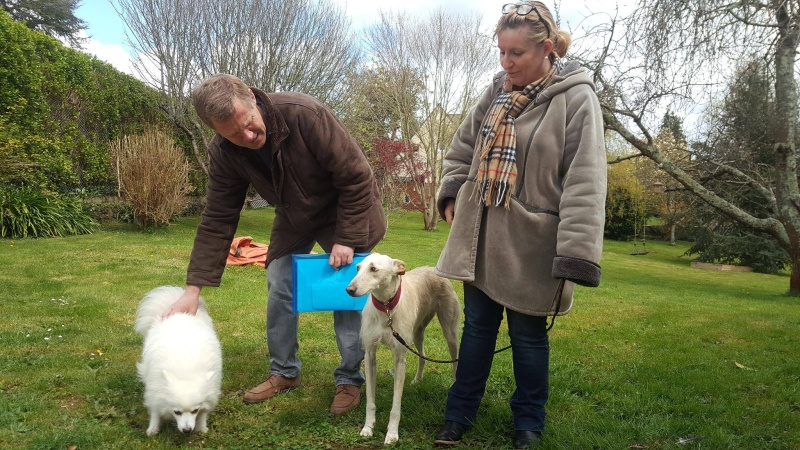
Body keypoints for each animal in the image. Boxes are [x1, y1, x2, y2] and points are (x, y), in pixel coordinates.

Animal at [134, 284, 220, 436]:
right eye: (177, 412)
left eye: (195, 411)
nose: (187, 430)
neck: (186, 372)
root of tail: (179, 313)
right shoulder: (155, 390)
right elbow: (155, 412)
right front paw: (153, 429)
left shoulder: (210, 393)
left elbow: (204, 413)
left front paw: (202, 427)